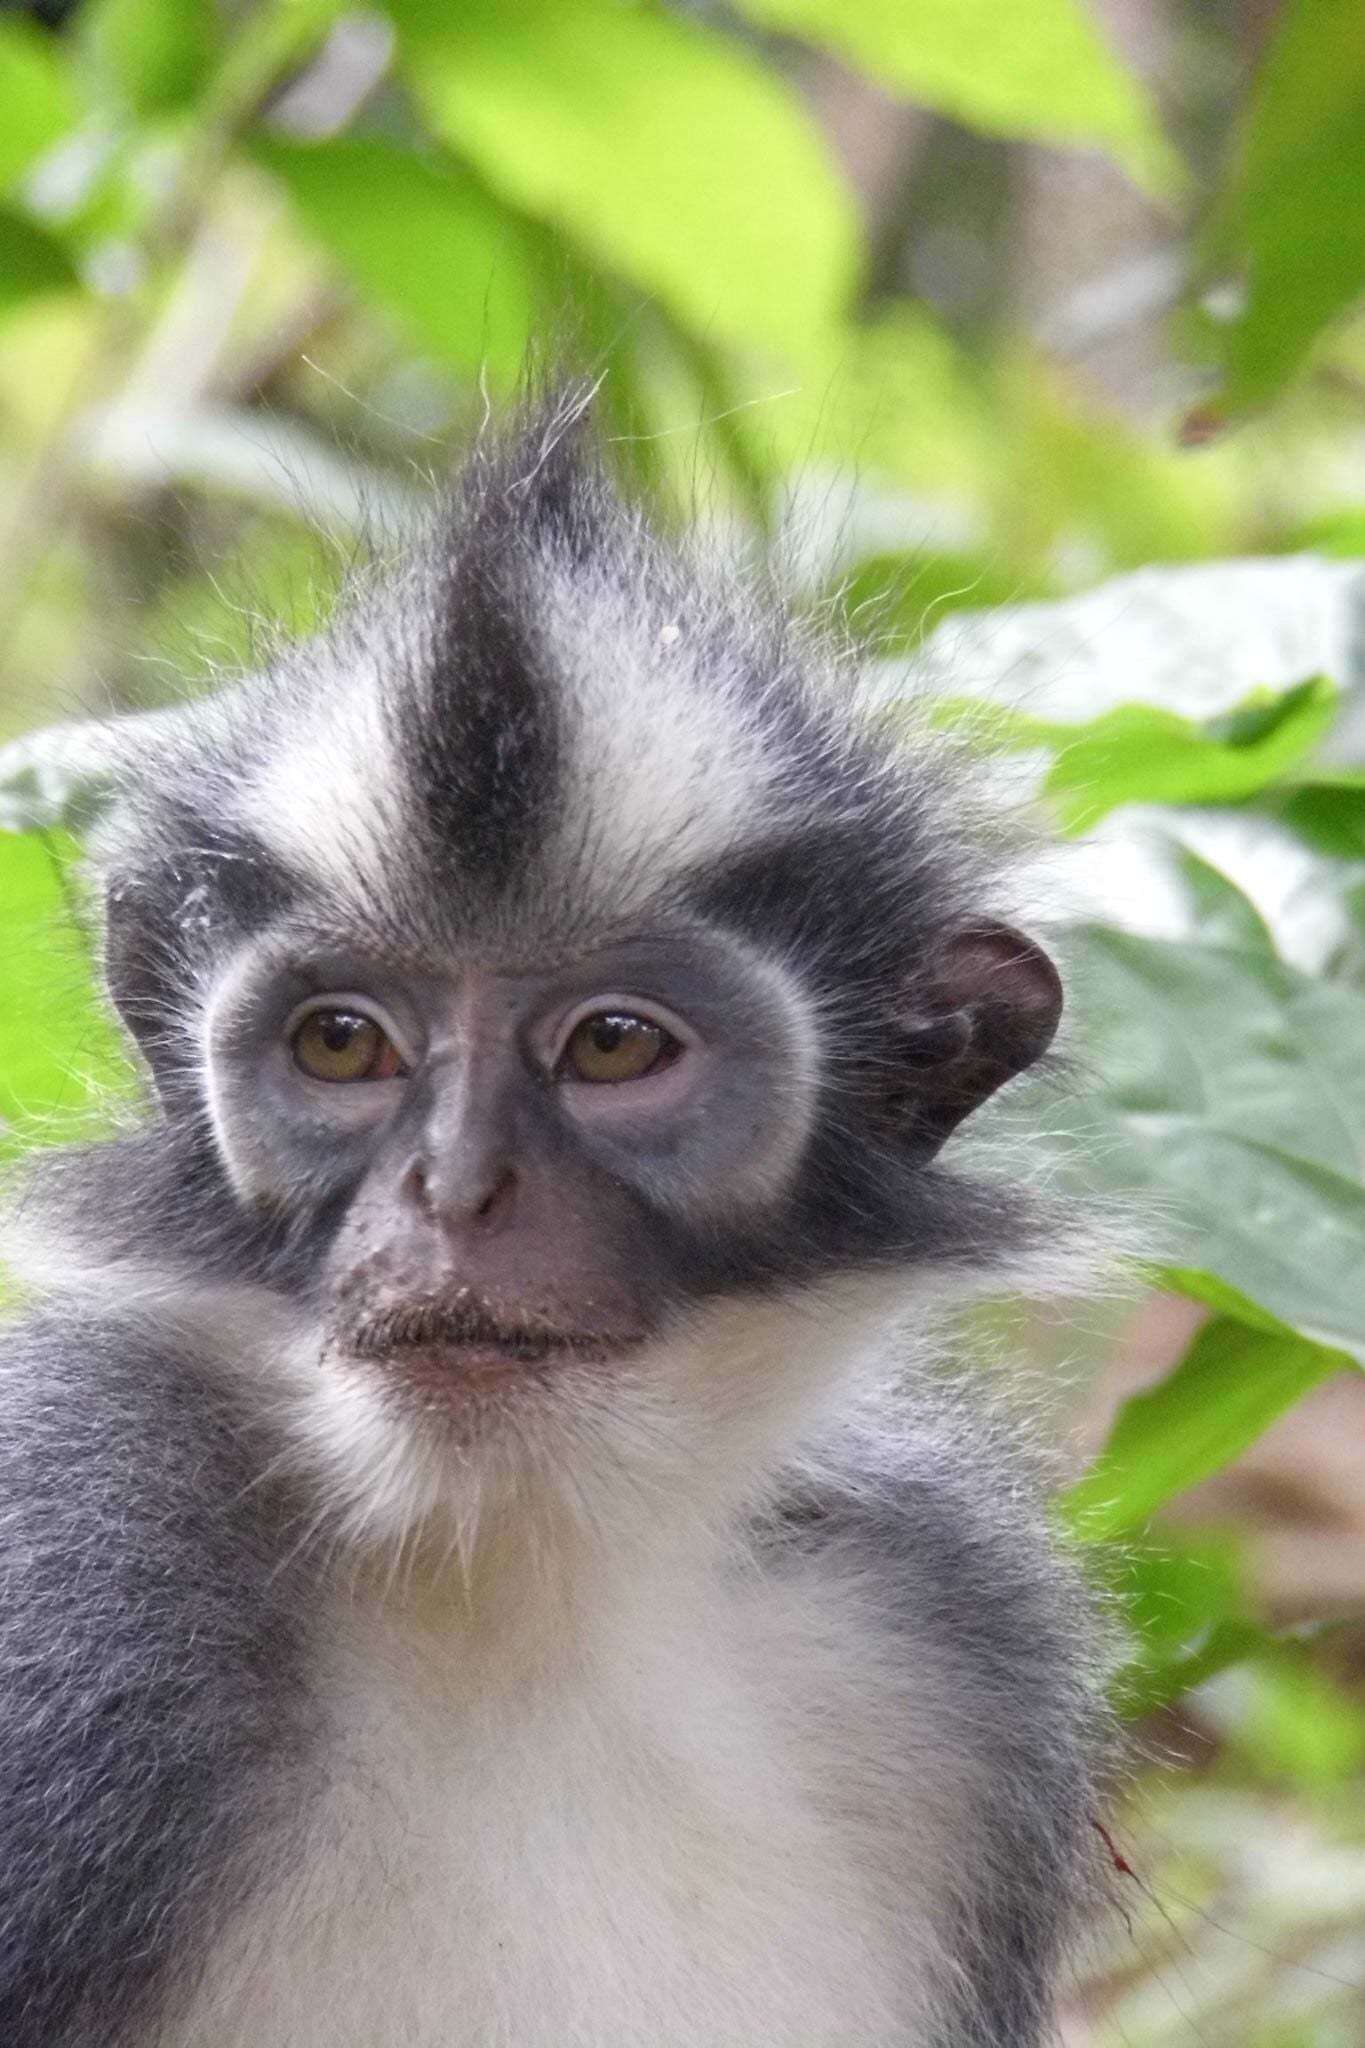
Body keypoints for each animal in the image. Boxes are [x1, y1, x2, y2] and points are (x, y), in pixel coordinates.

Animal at [0, 399, 1113, 2048]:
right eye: (344, 1044)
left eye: (612, 1046)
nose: (455, 1191)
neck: (519, 1579)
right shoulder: (85, 1555)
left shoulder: (948, 1647)